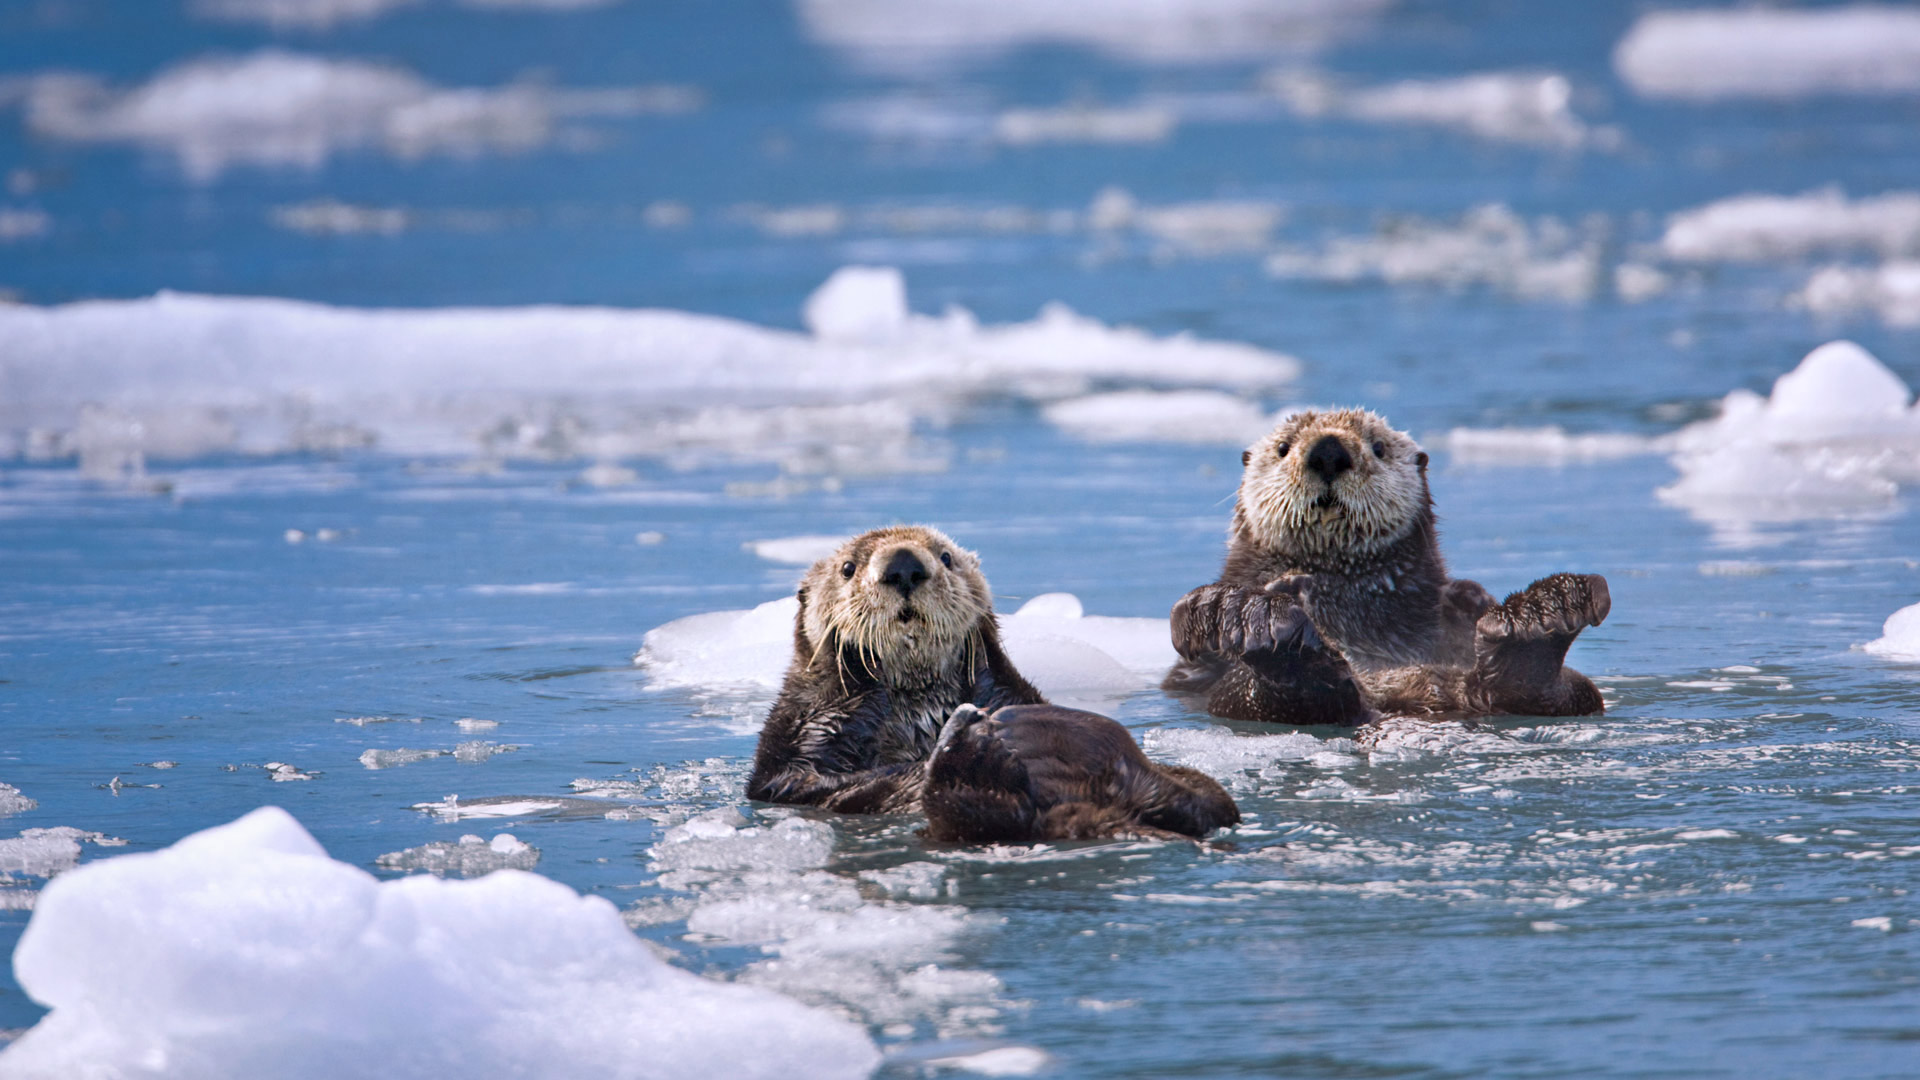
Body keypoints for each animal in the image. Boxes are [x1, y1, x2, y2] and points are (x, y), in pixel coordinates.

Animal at [749, 526, 1240, 841]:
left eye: (945, 557)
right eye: (848, 567)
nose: (904, 565)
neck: (919, 709)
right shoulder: (801, 737)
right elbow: (813, 781)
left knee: (1207, 800)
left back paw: (1040, 732)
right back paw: (976, 753)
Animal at [1165, 409, 1610, 726]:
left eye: (1378, 447)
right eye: (1282, 448)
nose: (1329, 451)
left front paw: (1470, 595)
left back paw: (1544, 615)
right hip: (1240, 697)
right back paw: (1252, 618)